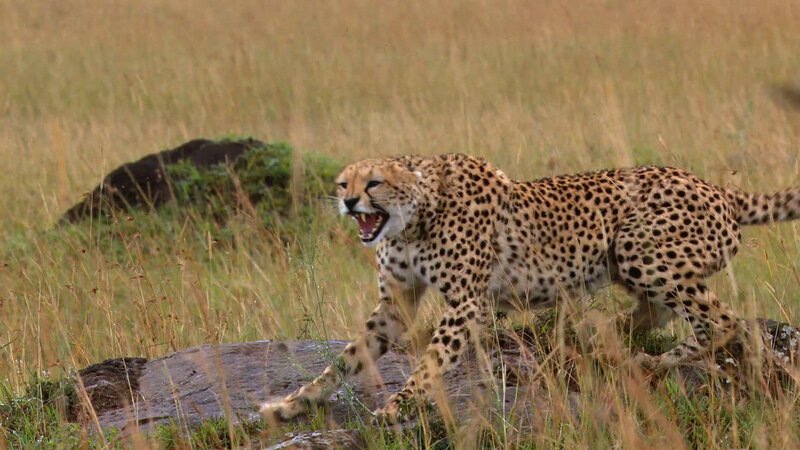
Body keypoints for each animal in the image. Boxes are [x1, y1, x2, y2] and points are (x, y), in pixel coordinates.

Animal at [260, 153, 800, 425]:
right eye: (342, 183)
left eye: (373, 183)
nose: (349, 202)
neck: (412, 219)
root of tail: (718, 188)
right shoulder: (395, 305)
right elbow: (347, 358)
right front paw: (294, 403)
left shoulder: (467, 303)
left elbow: (430, 360)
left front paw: (399, 405)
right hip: (631, 263)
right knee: (665, 314)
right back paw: (608, 345)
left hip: (639, 248)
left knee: (721, 321)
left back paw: (639, 357)